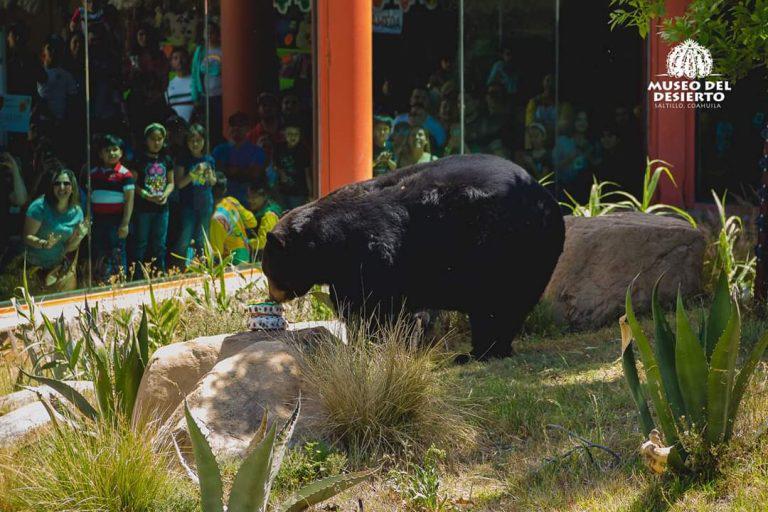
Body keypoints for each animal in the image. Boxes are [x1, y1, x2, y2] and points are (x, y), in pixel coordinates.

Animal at [264, 155, 564, 360]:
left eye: (269, 272)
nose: (272, 296)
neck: (328, 243)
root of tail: (548, 200)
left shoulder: (373, 253)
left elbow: (373, 305)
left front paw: (373, 344)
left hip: (506, 247)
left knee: (496, 306)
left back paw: (479, 353)